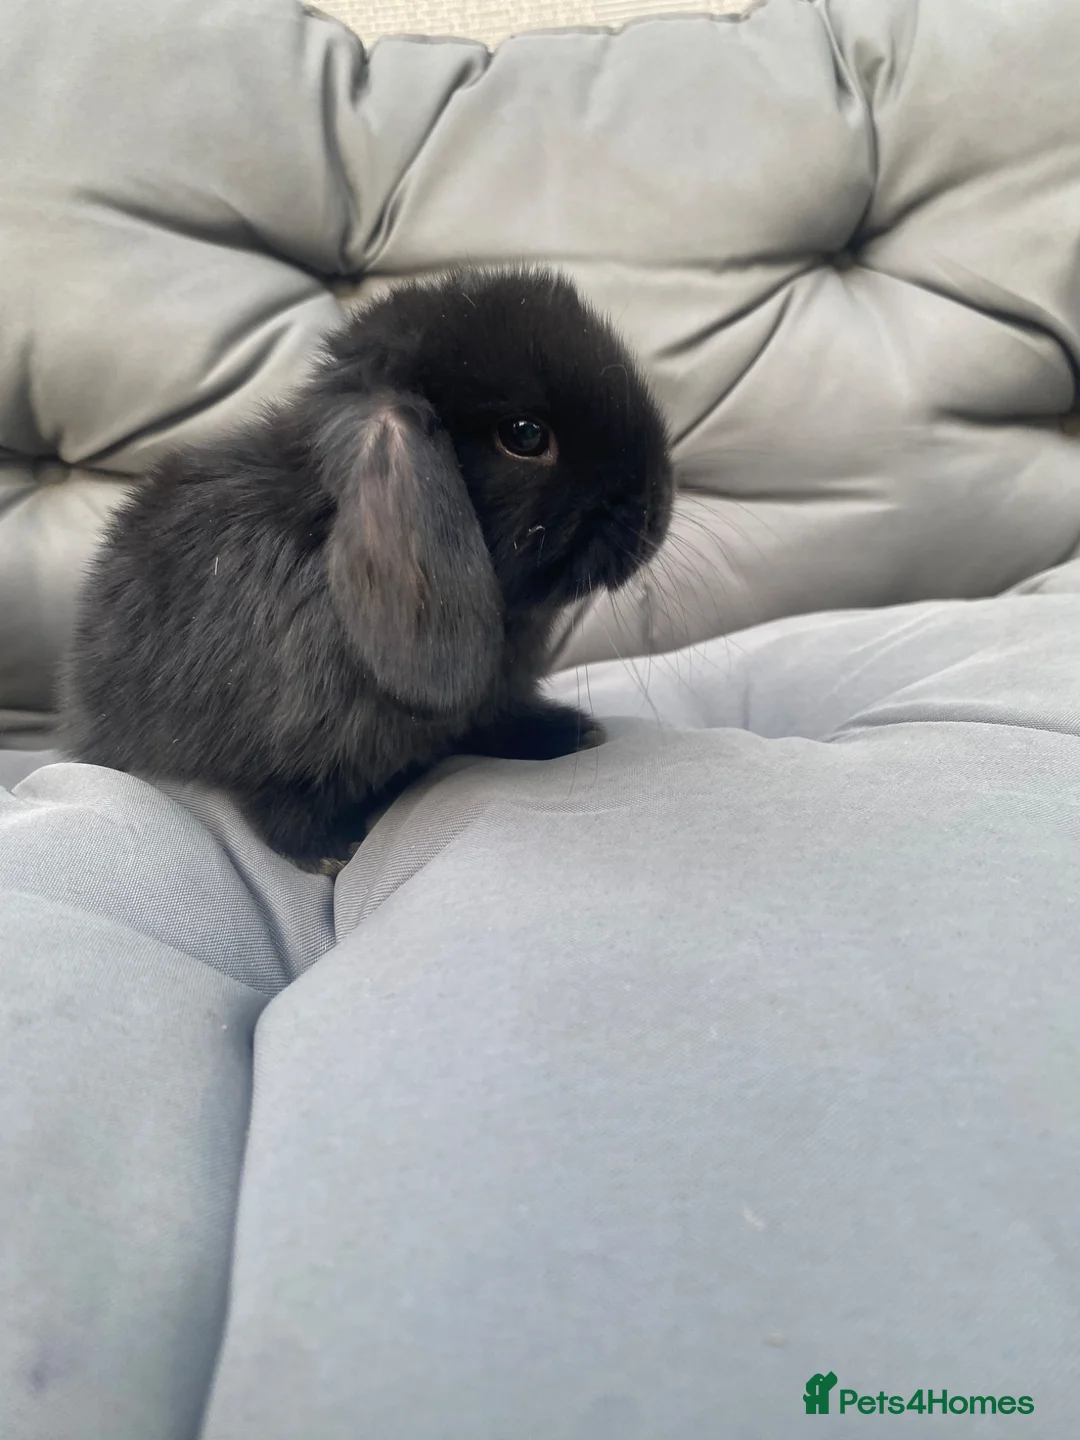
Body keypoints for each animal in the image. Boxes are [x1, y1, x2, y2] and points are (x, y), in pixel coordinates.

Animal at [61, 266, 673, 870]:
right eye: (524, 434)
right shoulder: (280, 754)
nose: (655, 509)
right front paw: (332, 851)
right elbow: (279, 804)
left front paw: (568, 732)